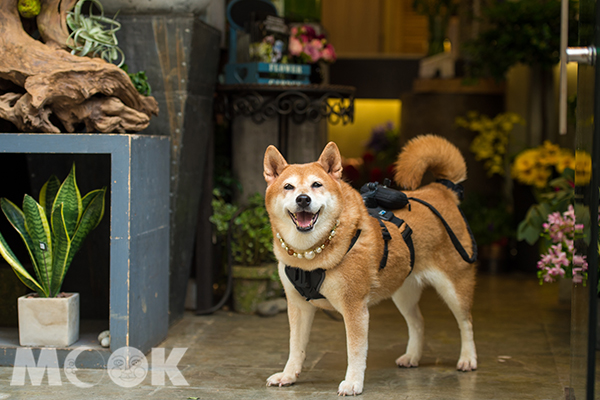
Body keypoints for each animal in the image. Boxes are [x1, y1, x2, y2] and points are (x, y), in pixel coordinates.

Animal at [262, 136, 478, 396]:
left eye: (316, 185)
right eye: (288, 187)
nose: (303, 199)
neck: (310, 255)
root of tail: (440, 190)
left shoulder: (354, 308)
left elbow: (355, 350)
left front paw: (353, 382)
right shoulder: (298, 305)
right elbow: (295, 346)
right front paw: (288, 375)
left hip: (454, 288)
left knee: (466, 323)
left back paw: (467, 359)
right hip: (403, 292)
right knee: (418, 322)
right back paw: (412, 356)